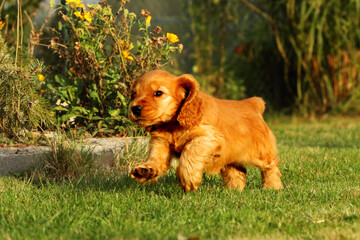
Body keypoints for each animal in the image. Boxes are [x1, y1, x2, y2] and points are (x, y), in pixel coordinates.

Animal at [128, 69, 282, 191]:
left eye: (158, 93)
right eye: (134, 94)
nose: (135, 108)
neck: (172, 125)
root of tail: (252, 104)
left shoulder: (207, 137)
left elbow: (189, 151)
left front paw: (188, 178)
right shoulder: (161, 142)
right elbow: (156, 159)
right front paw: (145, 169)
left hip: (260, 152)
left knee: (271, 166)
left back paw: (272, 187)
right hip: (232, 154)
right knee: (238, 171)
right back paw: (233, 190)